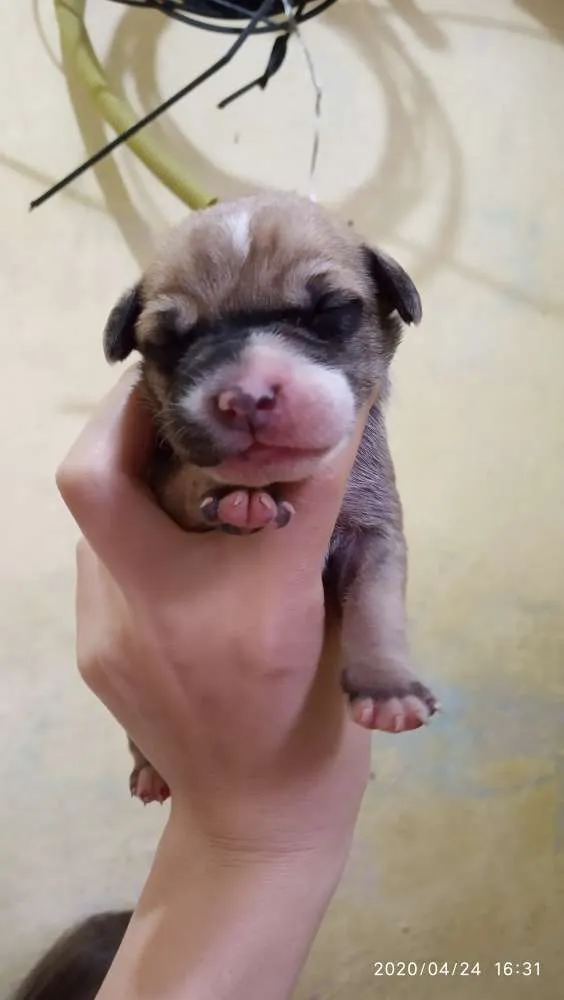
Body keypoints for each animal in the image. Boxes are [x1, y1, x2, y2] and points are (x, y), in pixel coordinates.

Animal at [103, 193, 438, 804]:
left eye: (329, 312)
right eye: (169, 341)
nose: (246, 394)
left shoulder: (375, 531)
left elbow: (376, 606)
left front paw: (389, 687)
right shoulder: (164, 485)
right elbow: (190, 477)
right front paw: (229, 494)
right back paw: (150, 768)